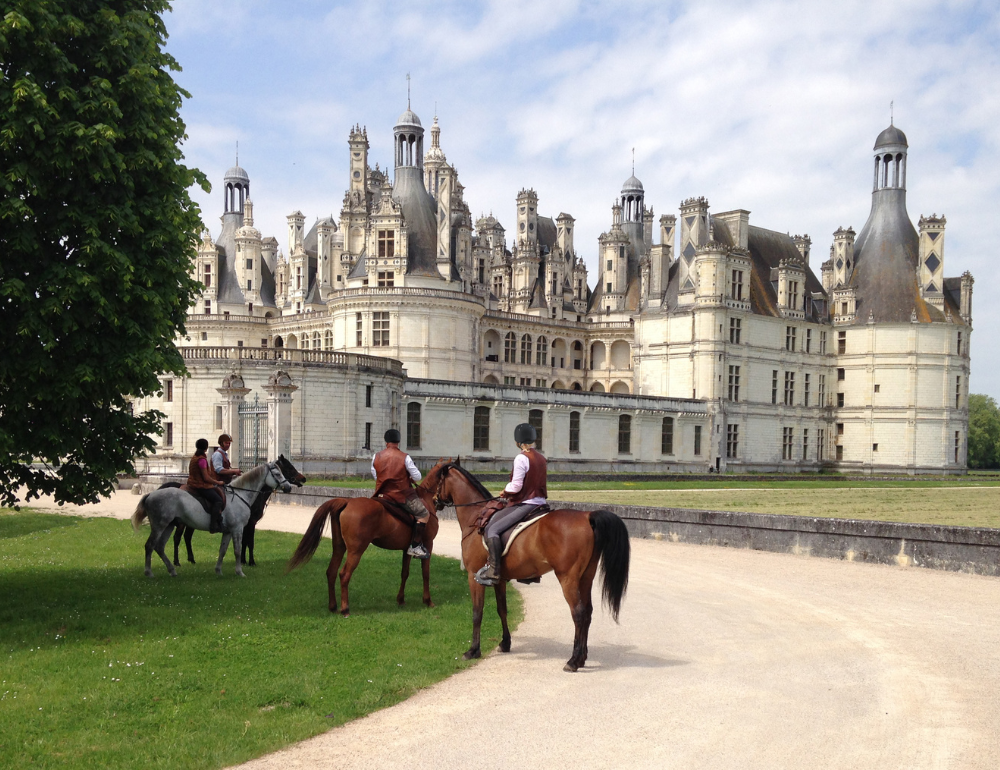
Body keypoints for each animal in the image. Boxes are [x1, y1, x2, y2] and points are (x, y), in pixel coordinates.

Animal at [131, 456, 292, 576]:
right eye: (278, 474)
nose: (289, 487)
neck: (240, 495)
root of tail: (151, 494)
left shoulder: (228, 531)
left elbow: (222, 550)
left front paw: (218, 570)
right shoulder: (238, 529)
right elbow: (238, 550)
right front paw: (240, 572)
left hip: (169, 525)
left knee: (160, 547)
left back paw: (172, 570)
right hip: (160, 526)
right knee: (150, 545)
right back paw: (149, 572)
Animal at [282, 476, 438, 616]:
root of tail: (347, 501)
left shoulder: (406, 550)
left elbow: (404, 573)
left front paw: (401, 600)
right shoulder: (428, 544)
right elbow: (426, 573)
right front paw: (428, 601)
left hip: (339, 547)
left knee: (331, 571)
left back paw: (333, 606)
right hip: (356, 551)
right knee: (344, 574)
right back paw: (345, 609)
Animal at [424, 460, 628, 668]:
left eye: (434, 477)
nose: (432, 499)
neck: (477, 517)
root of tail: (587, 516)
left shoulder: (473, 577)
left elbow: (477, 612)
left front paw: (473, 650)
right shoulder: (499, 580)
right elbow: (502, 609)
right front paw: (505, 643)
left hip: (568, 578)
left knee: (578, 613)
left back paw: (573, 661)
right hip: (586, 577)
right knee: (587, 612)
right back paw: (582, 658)